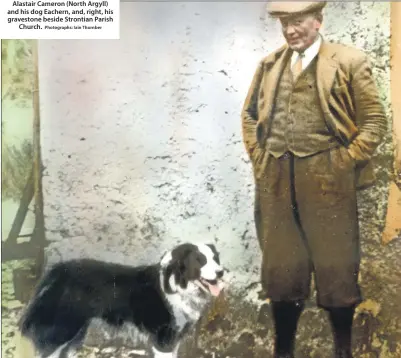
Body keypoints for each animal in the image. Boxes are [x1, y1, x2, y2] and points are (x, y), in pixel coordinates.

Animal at [18, 242, 225, 356]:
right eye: (199, 260)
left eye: (215, 258)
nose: (221, 272)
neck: (179, 287)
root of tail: (58, 270)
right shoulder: (163, 340)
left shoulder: (174, 339)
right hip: (63, 329)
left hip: (76, 333)